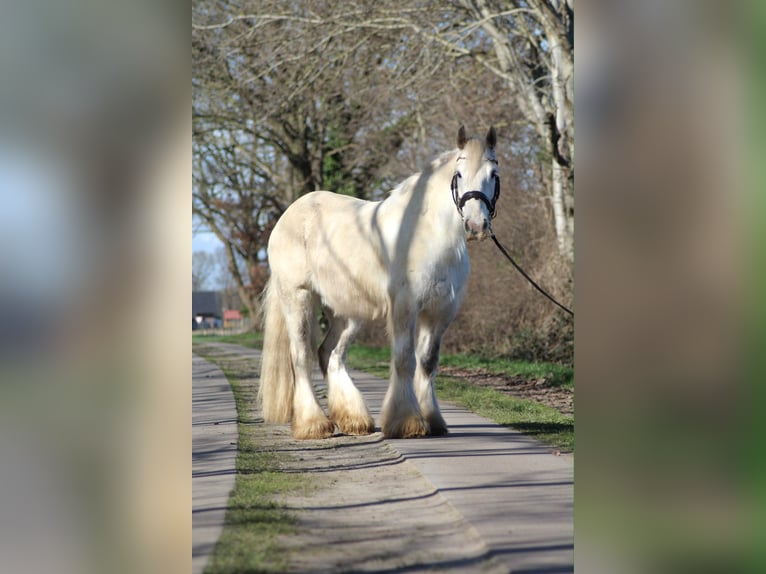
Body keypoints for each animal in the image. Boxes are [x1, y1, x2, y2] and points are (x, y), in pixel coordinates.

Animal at [258, 126, 500, 439]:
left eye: (493, 173)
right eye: (458, 174)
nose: (476, 226)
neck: (426, 233)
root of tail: (288, 216)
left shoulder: (439, 313)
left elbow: (427, 363)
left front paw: (433, 419)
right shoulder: (405, 307)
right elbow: (405, 359)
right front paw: (407, 422)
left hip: (346, 312)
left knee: (330, 354)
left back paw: (354, 419)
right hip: (298, 298)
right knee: (301, 356)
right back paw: (313, 425)